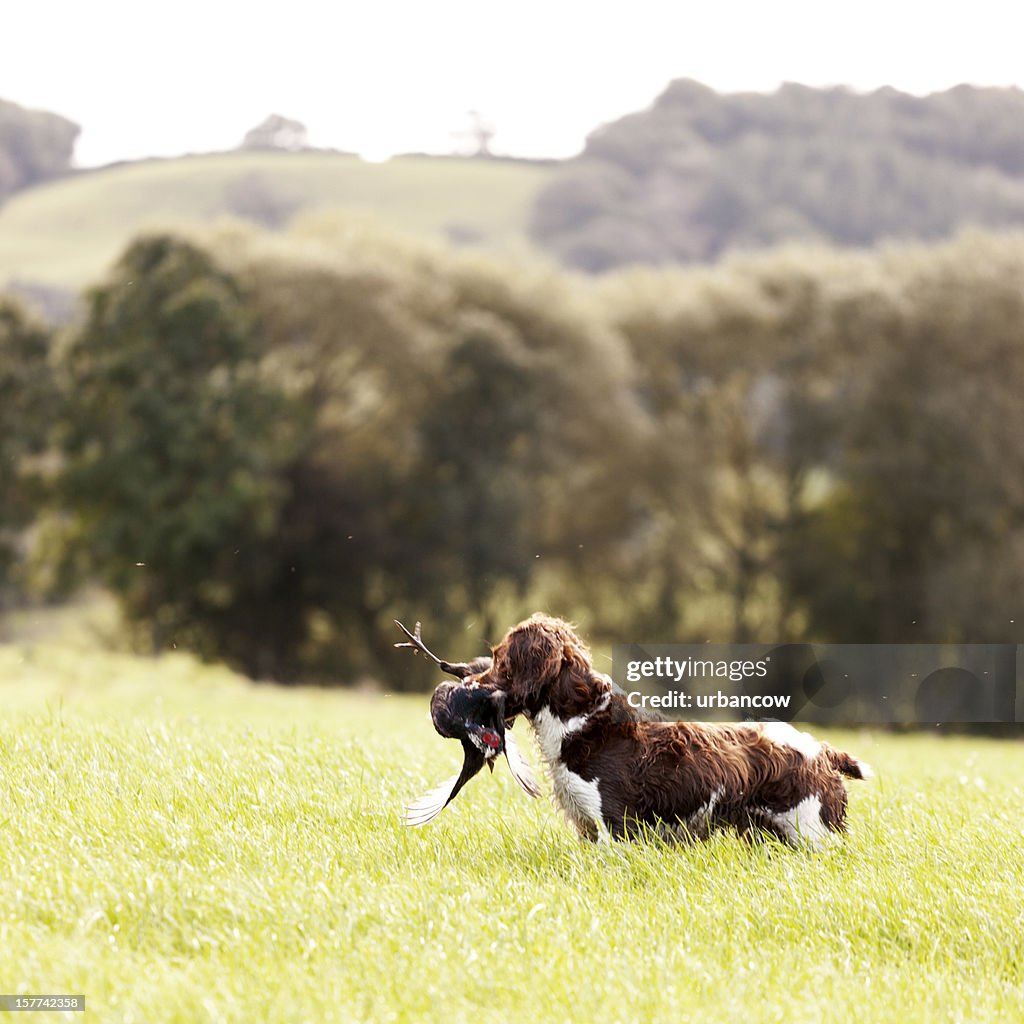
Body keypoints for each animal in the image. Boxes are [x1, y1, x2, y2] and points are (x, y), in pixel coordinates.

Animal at [468, 610, 868, 843]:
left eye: (500, 659)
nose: (469, 684)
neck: (580, 720)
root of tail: (822, 751)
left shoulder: (615, 826)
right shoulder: (587, 828)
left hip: (815, 832)